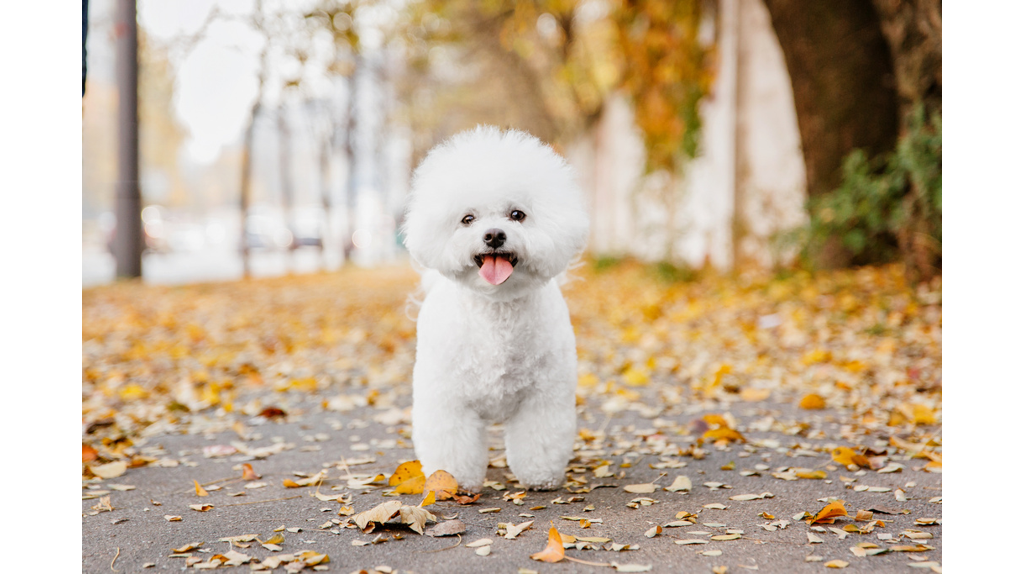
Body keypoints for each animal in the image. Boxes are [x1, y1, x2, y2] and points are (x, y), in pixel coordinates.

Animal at [401, 125, 593, 487]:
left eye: (517, 215)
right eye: (467, 219)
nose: (493, 235)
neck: (497, 311)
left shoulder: (543, 397)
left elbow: (539, 439)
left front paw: (540, 476)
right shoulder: (448, 400)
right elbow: (452, 444)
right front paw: (453, 481)